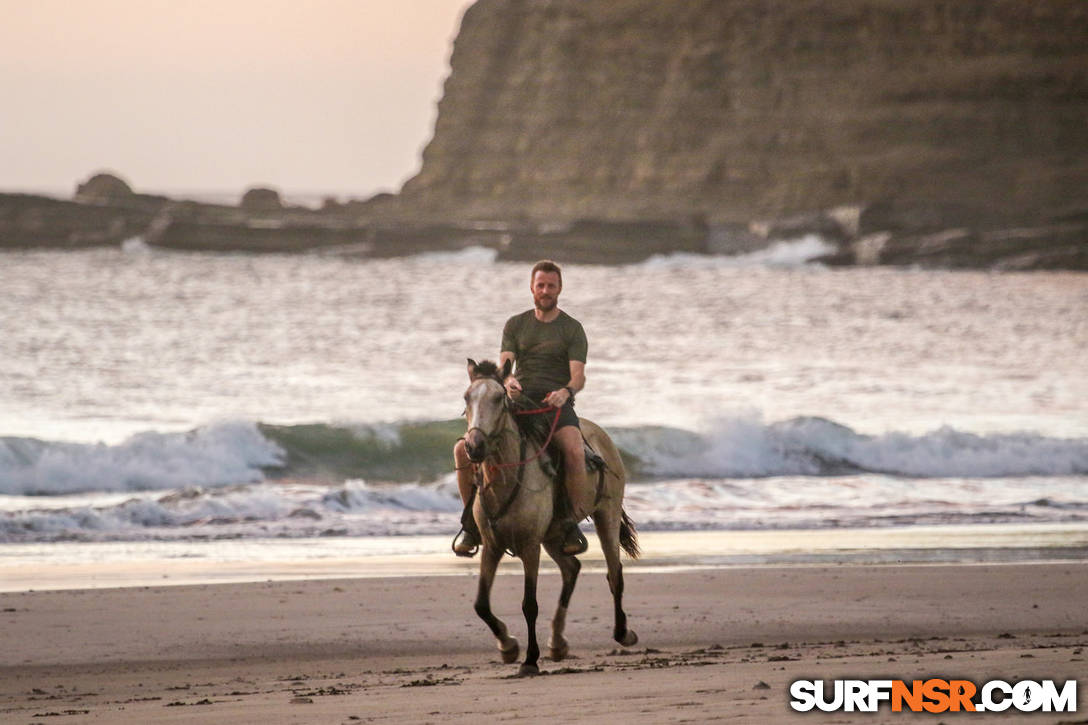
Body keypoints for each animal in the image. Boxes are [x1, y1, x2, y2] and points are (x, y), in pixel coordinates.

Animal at [459, 354, 635, 670]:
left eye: (499, 398)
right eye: (467, 397)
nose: (474, 446)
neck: (506, 479)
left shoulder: (530, 546)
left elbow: (529, 604)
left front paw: (530, 659)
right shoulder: (491, 546)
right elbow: (481, 604)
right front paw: (508, 646)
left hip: (607, 515)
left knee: (614, 573)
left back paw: (622, 633)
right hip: (553, 536)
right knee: (571, 569)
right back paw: (557, 641)